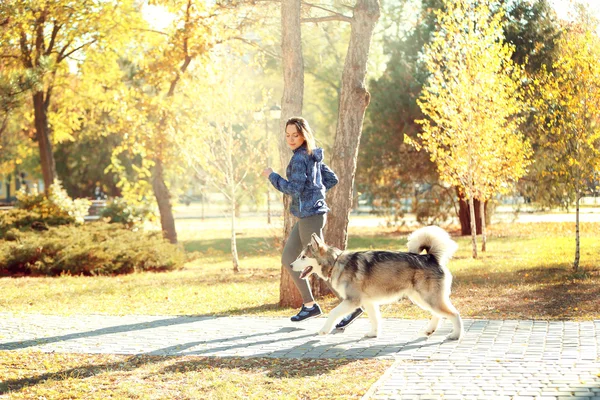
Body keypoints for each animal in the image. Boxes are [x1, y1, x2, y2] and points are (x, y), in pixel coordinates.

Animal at [290, 227, 464, 340]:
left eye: (303, 257)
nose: (290, 265)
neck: (335, 262)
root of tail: (430, 257)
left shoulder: (353, 301)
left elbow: (333, 313)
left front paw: (324, 330)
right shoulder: (369, 302)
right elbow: (375, 319)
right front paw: (373, 334)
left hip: (428, 298)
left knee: (454, 314)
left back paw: (455, 335)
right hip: (422, 299)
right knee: (438, 314)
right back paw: (430, 330)